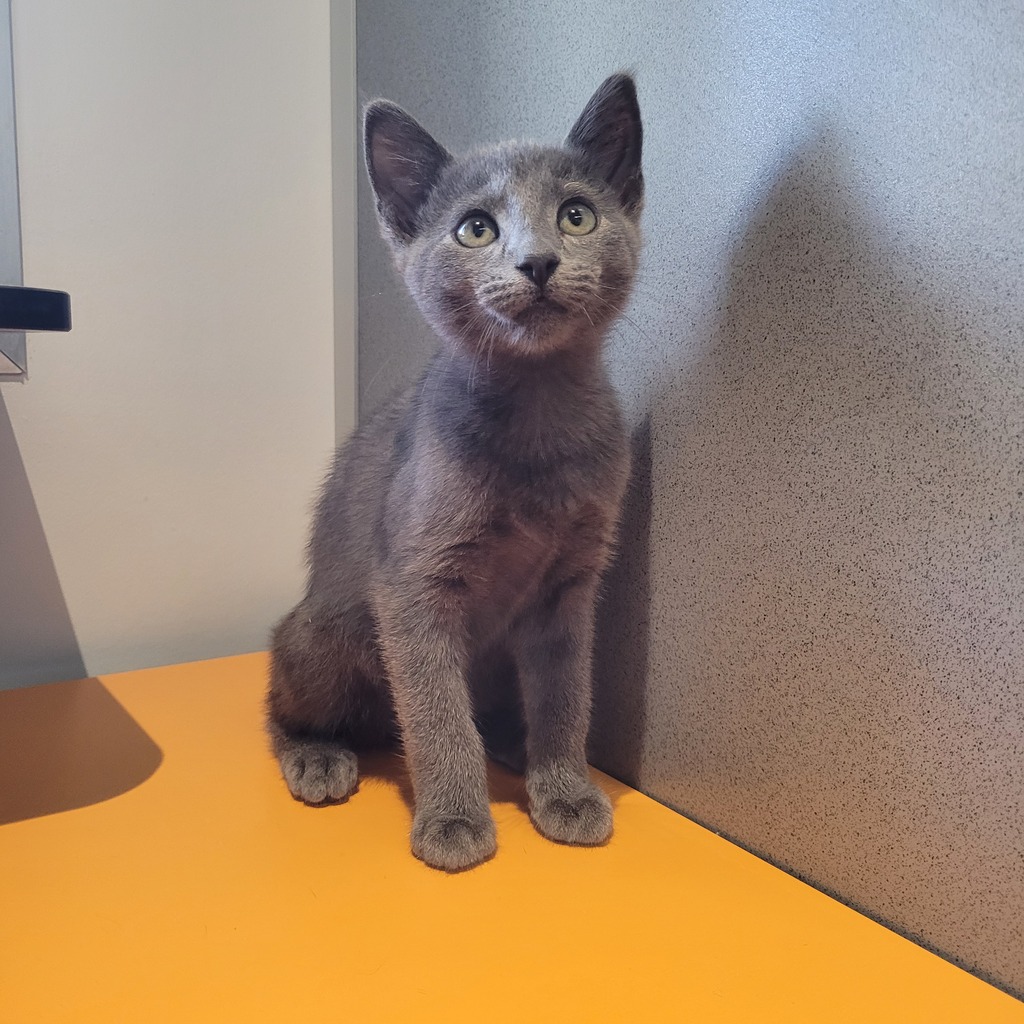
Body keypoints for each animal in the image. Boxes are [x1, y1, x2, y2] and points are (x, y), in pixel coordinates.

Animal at [267, 73, 643, 872]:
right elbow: (437, 713)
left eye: (576, 215)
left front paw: (565, 790)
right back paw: (316, 754)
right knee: (281, 698)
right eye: (475, 229)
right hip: (327, 631)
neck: (537, 419)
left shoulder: (571, 587)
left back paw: (514, 745)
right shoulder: (411, 585)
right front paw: (454, 819)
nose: (537, 262)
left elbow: (566, 696)